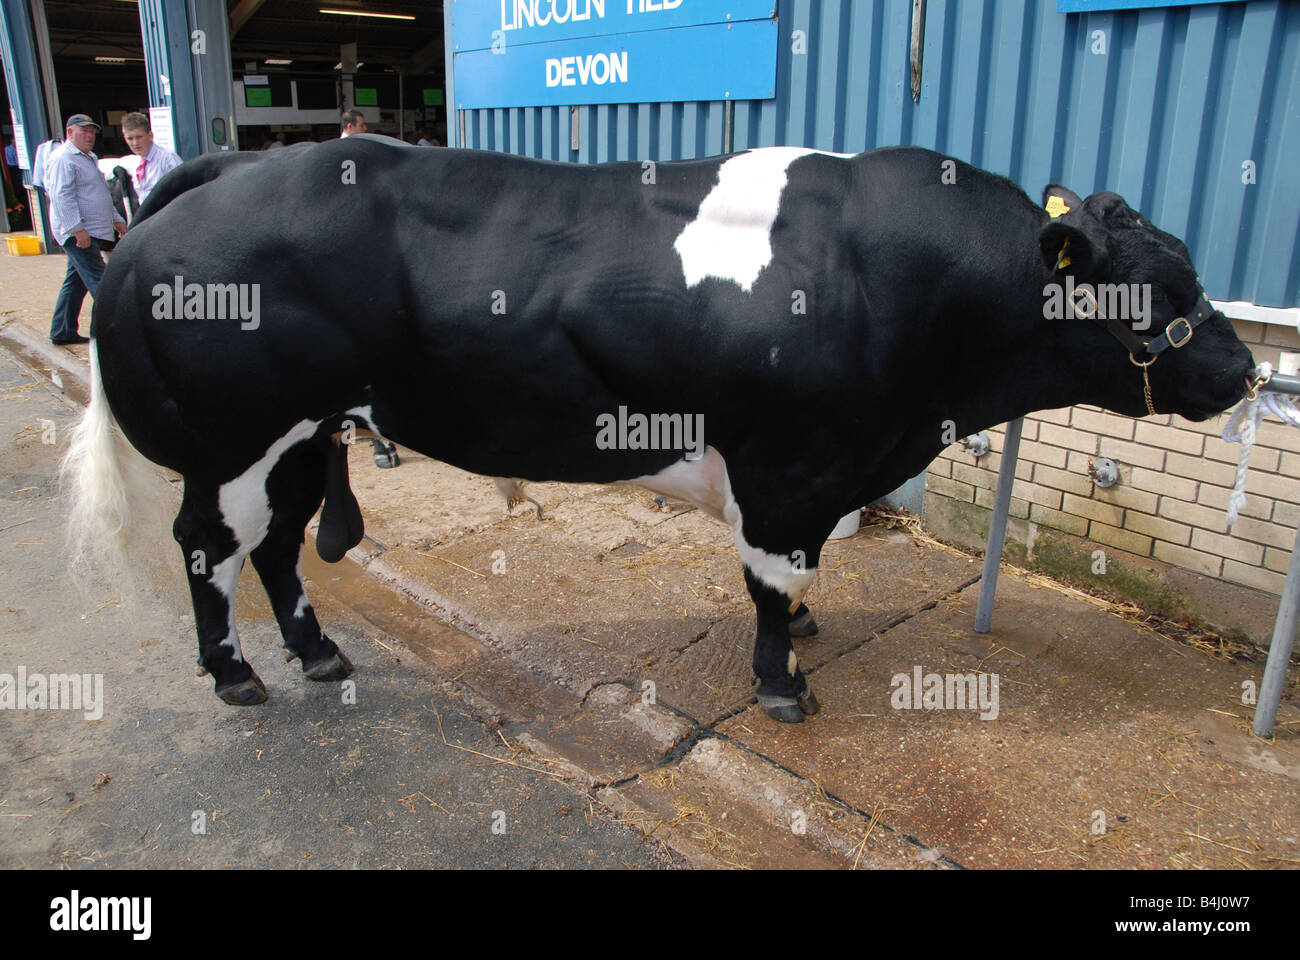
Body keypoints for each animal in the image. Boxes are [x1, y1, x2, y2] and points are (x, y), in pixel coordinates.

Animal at [64, 137, 1256, 723]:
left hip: (308, 435)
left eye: (1194, 269)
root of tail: (238, 164)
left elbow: (798, 579)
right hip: (231, 442)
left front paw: (807, 632)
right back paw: (236, 676)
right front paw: (783, 683)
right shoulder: (790, 462)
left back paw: (316, 653)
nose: (1247, 369)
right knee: (209, 550)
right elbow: (772, 582)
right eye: (1153, 296)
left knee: (275, 546)